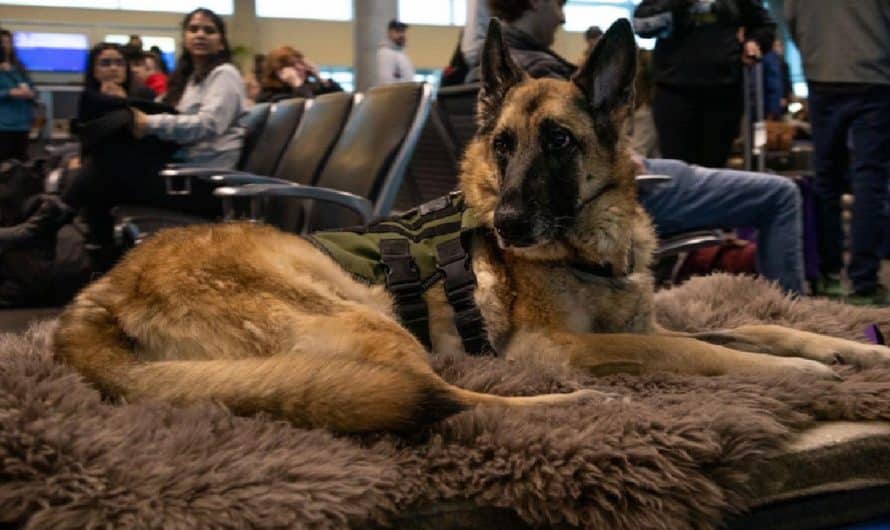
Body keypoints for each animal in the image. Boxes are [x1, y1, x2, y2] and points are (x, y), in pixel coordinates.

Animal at [55, 21, 888, 434]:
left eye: (559, 142)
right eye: (503, 145)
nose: (509, 226)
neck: (593, 242)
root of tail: (92, 304)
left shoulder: (641, 317)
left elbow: (759, 327)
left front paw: (853, 350)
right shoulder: (565, 346)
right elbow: (692, 350)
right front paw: (799, 375)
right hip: (367, 315)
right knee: (432, 397)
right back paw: (579, 407)